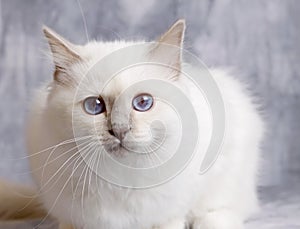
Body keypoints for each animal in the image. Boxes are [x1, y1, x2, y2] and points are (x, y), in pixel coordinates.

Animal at [0, 19, 264, 229]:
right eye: (95, 106)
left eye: (143, 103)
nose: (119, 130)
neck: (121, 179)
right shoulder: (73, 219)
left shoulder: (168, 216)